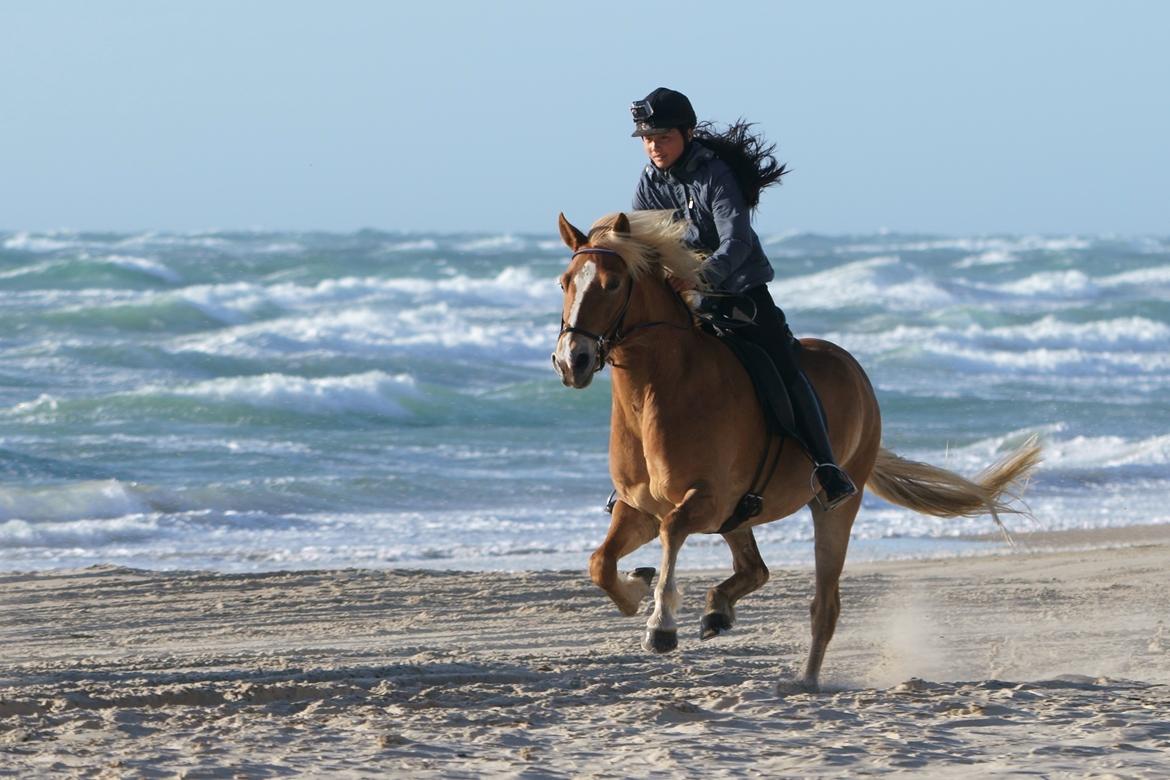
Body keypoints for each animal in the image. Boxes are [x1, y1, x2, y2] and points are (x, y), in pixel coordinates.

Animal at [556, 210, 1043, 692]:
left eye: (612, 284)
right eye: (565, 282)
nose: (571, 361)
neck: (658, 391)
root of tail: (855, 371)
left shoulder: (707, 501)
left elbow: (672, 530)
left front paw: (661, 626)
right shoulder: (640, 507)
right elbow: (600, 562)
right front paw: (638, 587)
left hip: (832, 509)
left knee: (823, 605)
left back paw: (805, 678)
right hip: (743, 514)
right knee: (757, 570)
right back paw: (718, 611)